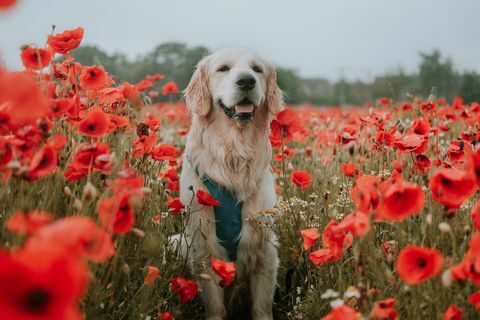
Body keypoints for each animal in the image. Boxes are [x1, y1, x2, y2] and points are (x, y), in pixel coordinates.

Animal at [179, 48, 284, 320]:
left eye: (257, 69)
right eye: (223, 69)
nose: (246, 81)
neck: (234, 152)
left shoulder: (265, 250)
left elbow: (262, 306)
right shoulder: (204, 249)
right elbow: (215, 306)